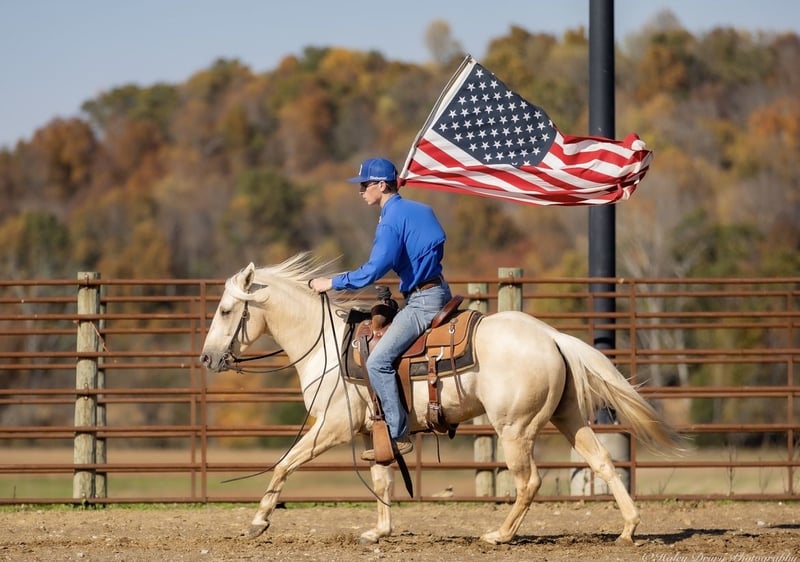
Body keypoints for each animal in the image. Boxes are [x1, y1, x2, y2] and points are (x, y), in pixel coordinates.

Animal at [199, 253, 682, 545]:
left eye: (225, 309)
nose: (206, 357)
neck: (329, 349)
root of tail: (550, 335)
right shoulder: (371, 432)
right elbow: (382, 480)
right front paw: (379, 532)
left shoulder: (331, 428)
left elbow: (284, 463)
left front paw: (259, 521)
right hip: (567, 417)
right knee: (602, 460)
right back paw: (628, 529)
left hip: (515, 429)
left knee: (529, 482)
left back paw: (499, 535)